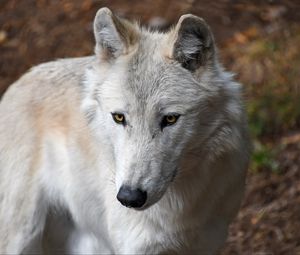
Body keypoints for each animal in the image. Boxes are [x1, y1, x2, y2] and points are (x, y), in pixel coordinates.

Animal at [0, 6, 250, 254]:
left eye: (170, 119)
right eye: (119, 117)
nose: (129, 197)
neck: (180, 211)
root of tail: (15, 86)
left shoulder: (208, 242)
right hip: (21, 236)